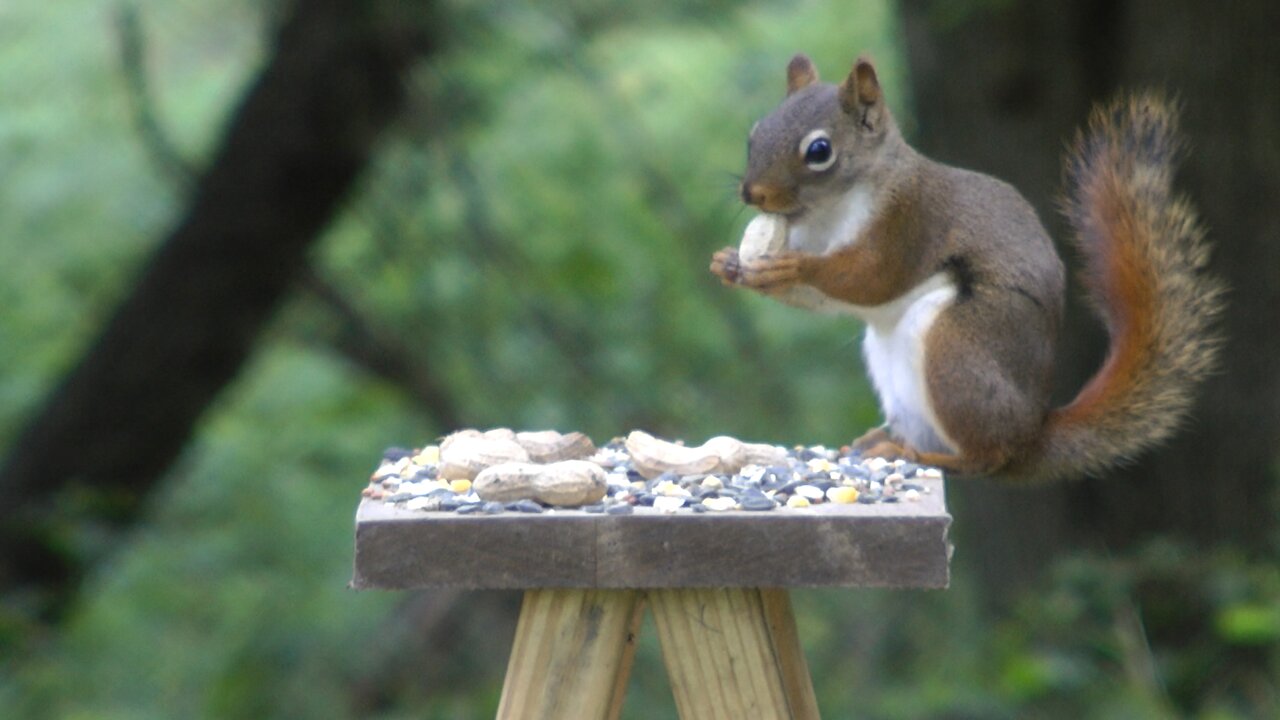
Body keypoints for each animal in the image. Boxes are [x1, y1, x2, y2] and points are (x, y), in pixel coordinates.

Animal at [711, 54, 1218, 481]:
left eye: (819, 151)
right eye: (755, 134)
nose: (752, 194)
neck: (825, 214)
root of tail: (1030, 436)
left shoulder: (909, 223)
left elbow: (869, 278)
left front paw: (792, 268)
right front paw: (730, 264)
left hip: (957, 346)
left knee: (985, 458)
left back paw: (919, 456)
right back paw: (881, 441)